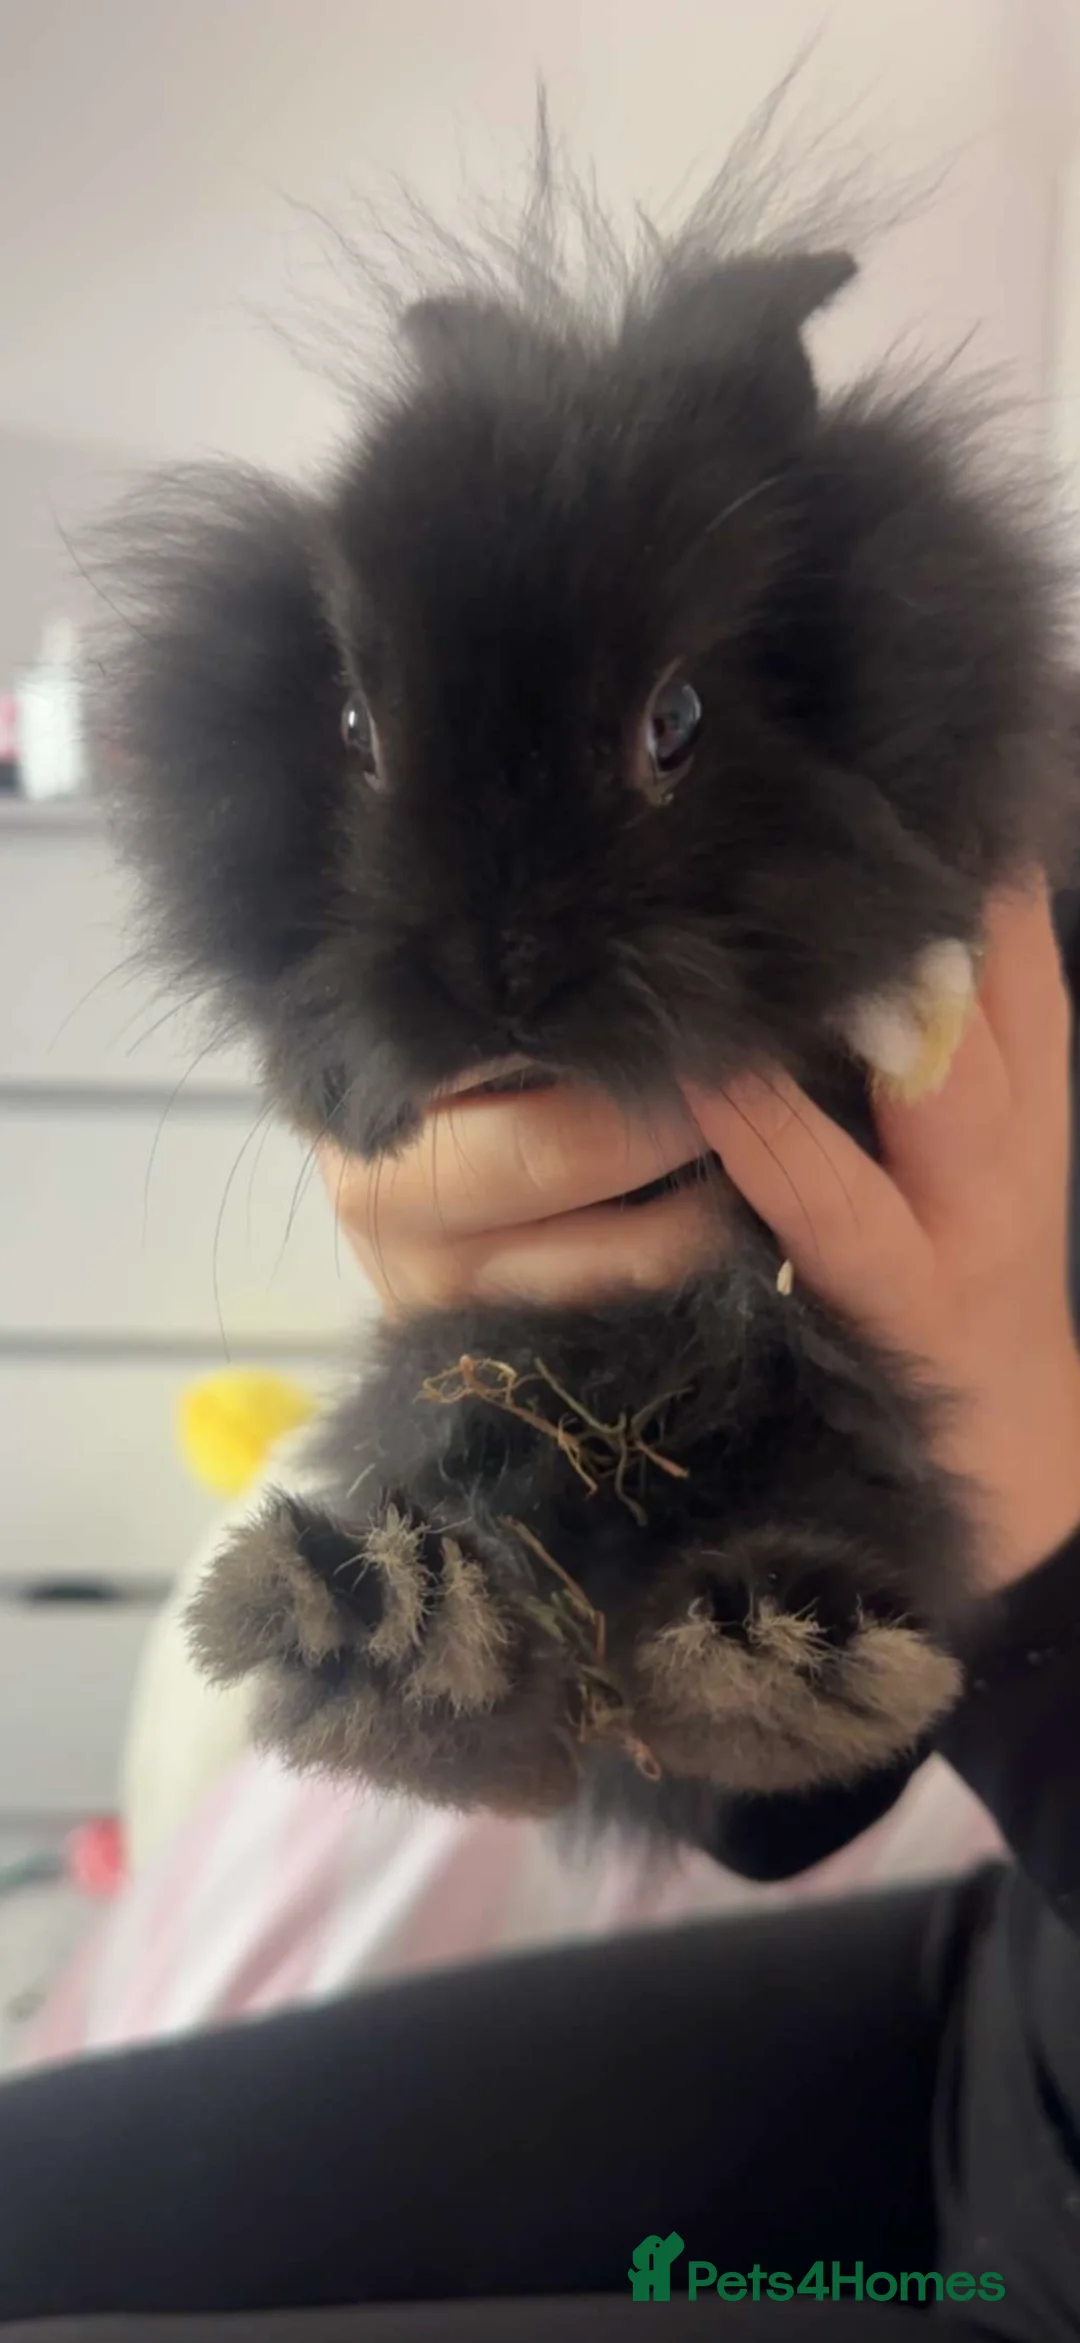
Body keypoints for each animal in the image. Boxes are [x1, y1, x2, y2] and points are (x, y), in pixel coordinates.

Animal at [96, 135, 1078, 1842]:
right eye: (354, 727)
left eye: (674, 719)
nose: (495, 984)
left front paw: (922, 1018)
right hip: (458, 1400)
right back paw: (394, 1640)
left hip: (820, 1435)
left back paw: (776, 1670)